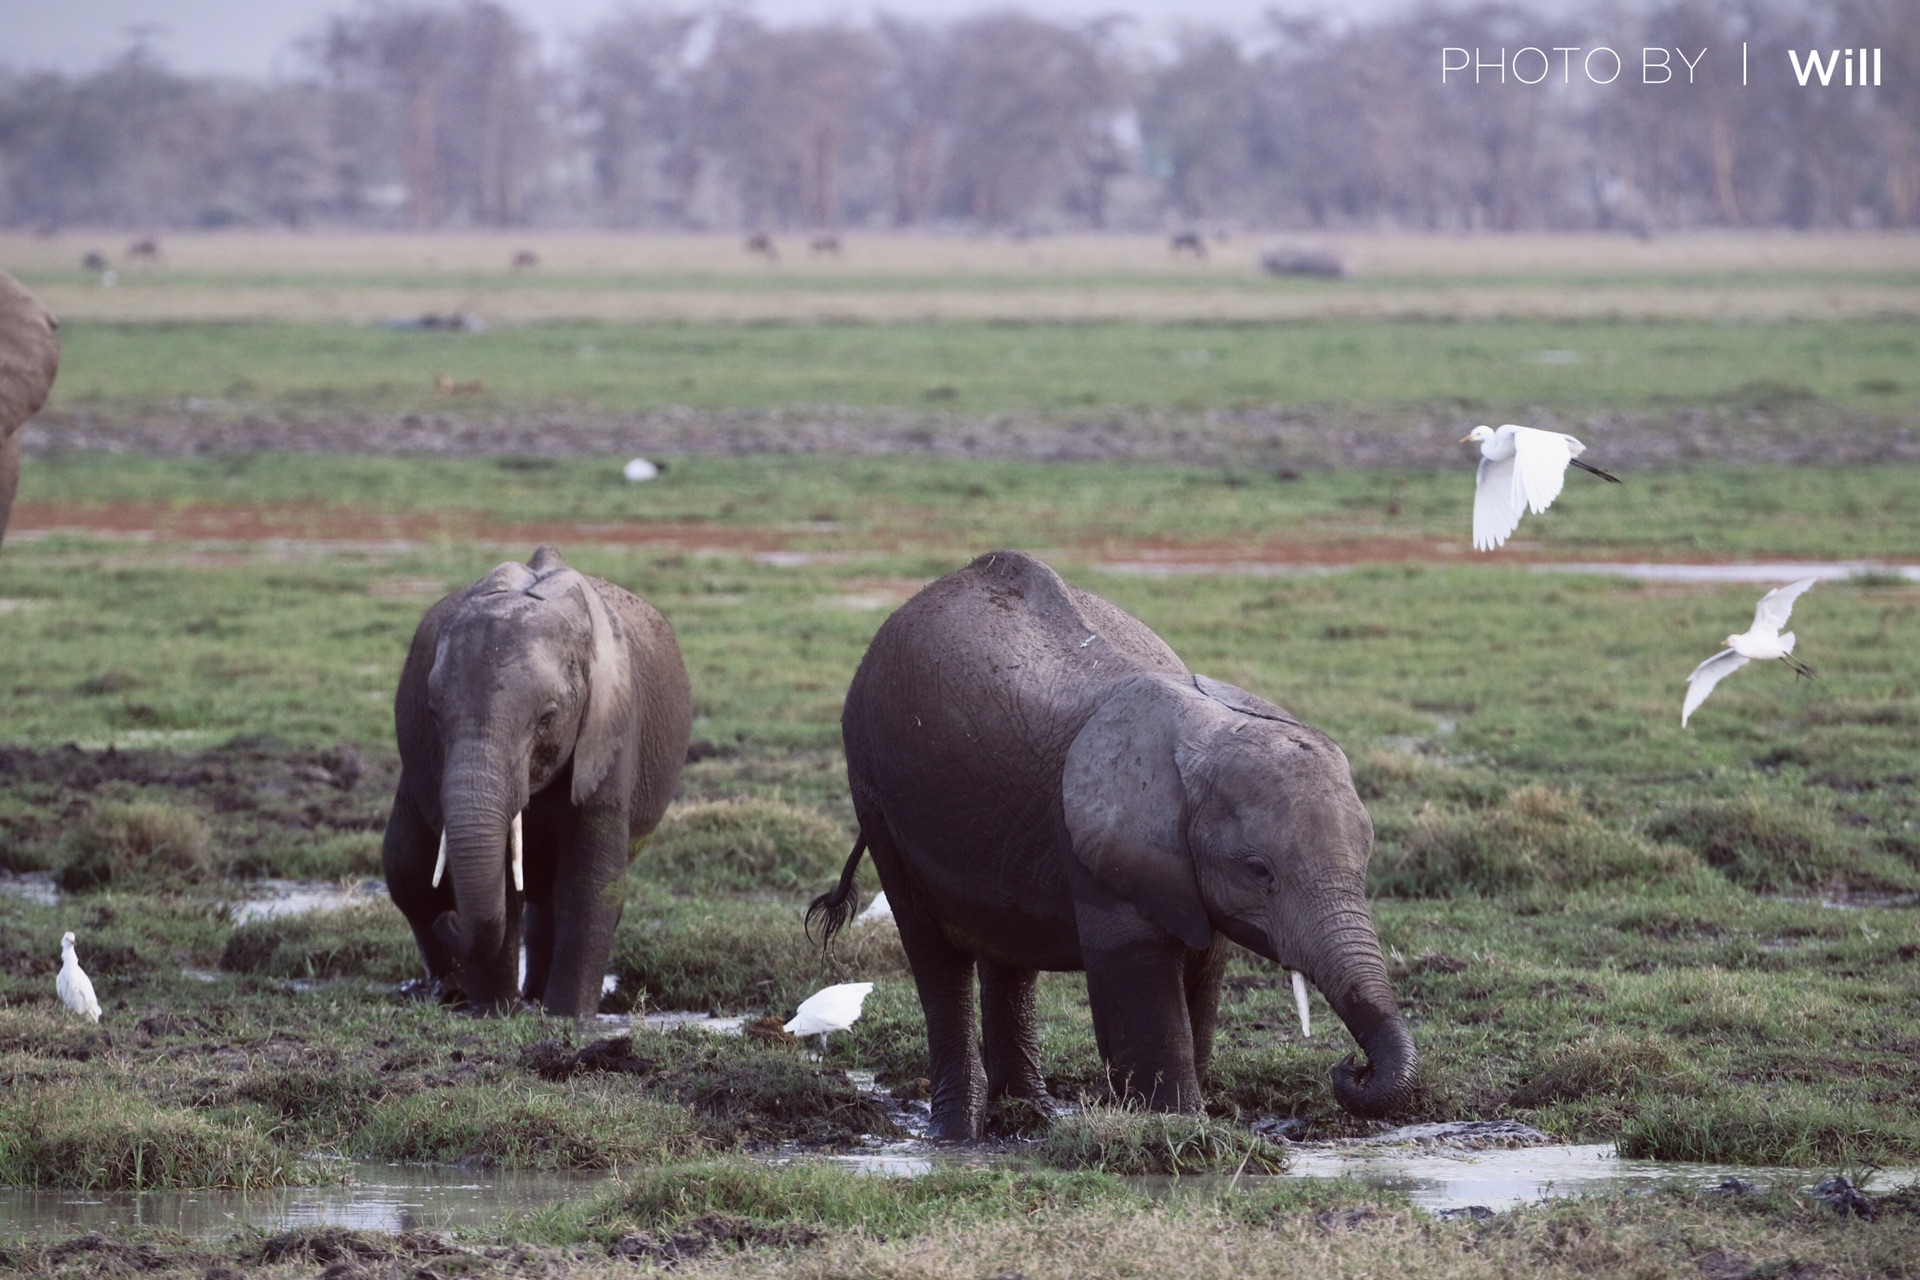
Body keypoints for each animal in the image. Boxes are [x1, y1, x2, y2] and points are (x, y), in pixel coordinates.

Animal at [384, 548, 698, 1020]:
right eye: (434, 714)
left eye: (547, 717)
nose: (449, 922)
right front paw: (495, 1012)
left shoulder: (612, 729)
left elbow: (590, 886)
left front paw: (570, 1018)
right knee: (407, 873)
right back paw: (456, 990)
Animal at [802, 552, 1420, 1143]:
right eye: (1259, 870)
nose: (1350, 1066)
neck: (1205, 730)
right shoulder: (1107, 851)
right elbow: (1136, 984)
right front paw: (1180, 1130)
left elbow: (1205, 972)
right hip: (875, 791)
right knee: (935, 957)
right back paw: (955, 1136)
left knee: (1007, 952)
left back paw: (1027, 1117)